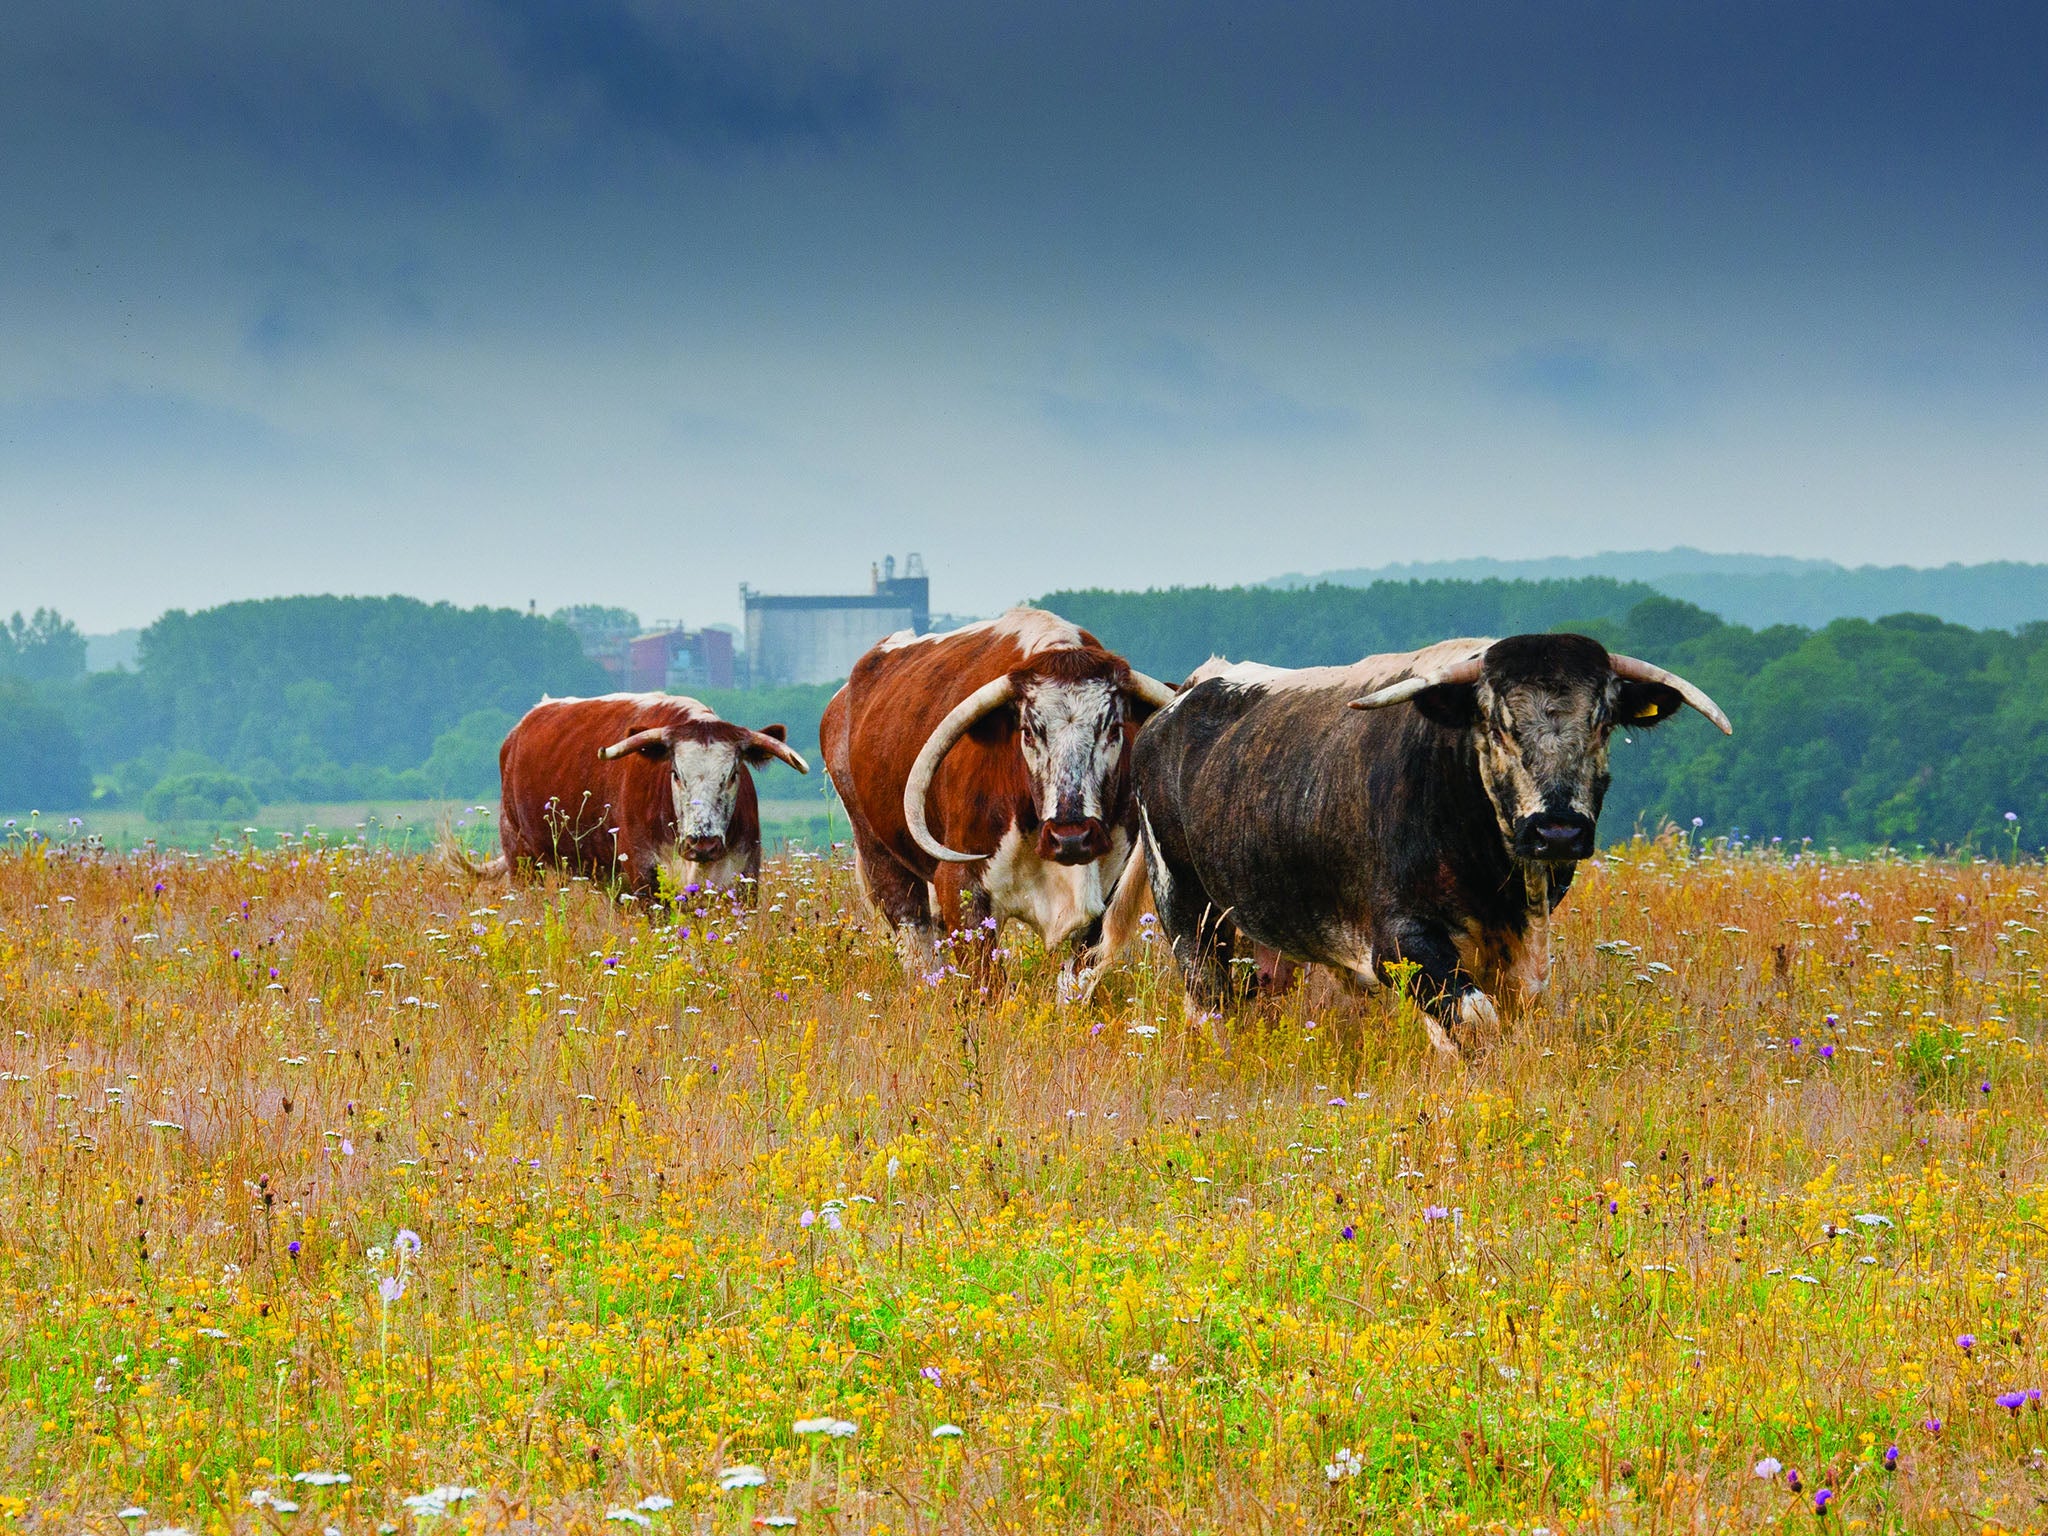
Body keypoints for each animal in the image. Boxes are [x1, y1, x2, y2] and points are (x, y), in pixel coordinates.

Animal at [452, 696, 811, 901]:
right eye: (675, 773)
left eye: (733, 774)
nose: (702, 842)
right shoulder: (645, 878)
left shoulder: (742, 878)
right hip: (522, 857)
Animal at [819, 606, 1179, 978]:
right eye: (1029, 731)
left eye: (1113, 728)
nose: (1071, 838)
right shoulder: (961, 889)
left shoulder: (1104, 900)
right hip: (880, 855)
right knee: (917, 941)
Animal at [1105, 630, 1728, 1056]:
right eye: (1496, 723)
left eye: (1602, 723)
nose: (1557, 830)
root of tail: (1193, 687)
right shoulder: (1398, 941)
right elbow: (1473, 1022)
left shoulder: (1522, 950)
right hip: (1187, 906)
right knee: (1211, 1001)